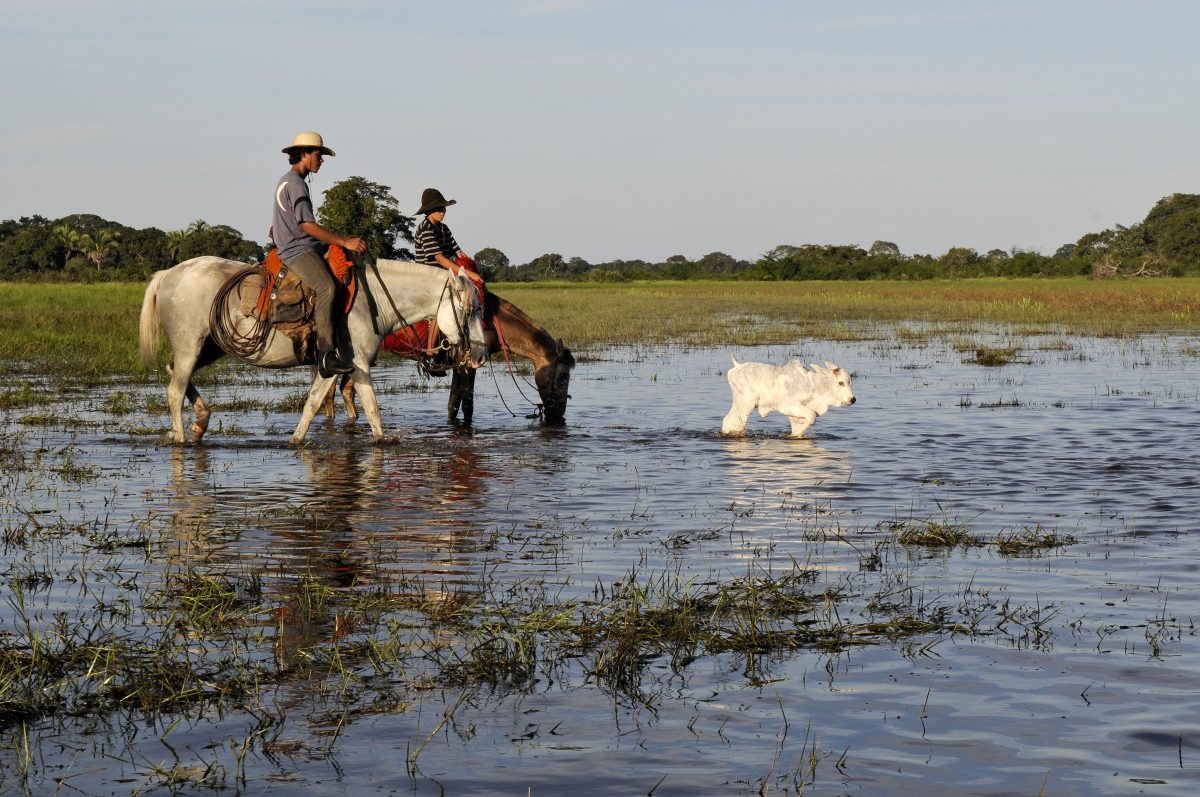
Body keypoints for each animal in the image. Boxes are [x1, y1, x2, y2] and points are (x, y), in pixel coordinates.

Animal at [136, 255, 482, 441]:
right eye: (470, 310)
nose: (479, 355)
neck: (372, 302)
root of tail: (167, 275)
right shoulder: (356, 364)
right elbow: (372, 411)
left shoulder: (334, 366)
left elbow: (314, 405)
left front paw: (296, 441)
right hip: (190, 345)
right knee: (175, 390)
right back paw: (182, 438)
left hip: (209, 347)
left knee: (177, 376)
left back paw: (200, 421)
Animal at [326, 292, 573, 427]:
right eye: (562, 377)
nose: (559, 414)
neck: (490, 322)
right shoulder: (468, 366)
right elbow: (468, 405)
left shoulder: (458, 366)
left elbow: (453, 404)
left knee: (343, 391)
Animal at [720, 357, 854, 439]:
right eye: (841, 383)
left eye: (850, 381)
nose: (852, 399)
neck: (813, 386)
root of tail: (737, 367)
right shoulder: (786, 406)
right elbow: (812, 417)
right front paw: (792, 436)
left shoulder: (794, 415)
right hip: (746, 404)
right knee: (737, 425)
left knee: (728, 421)